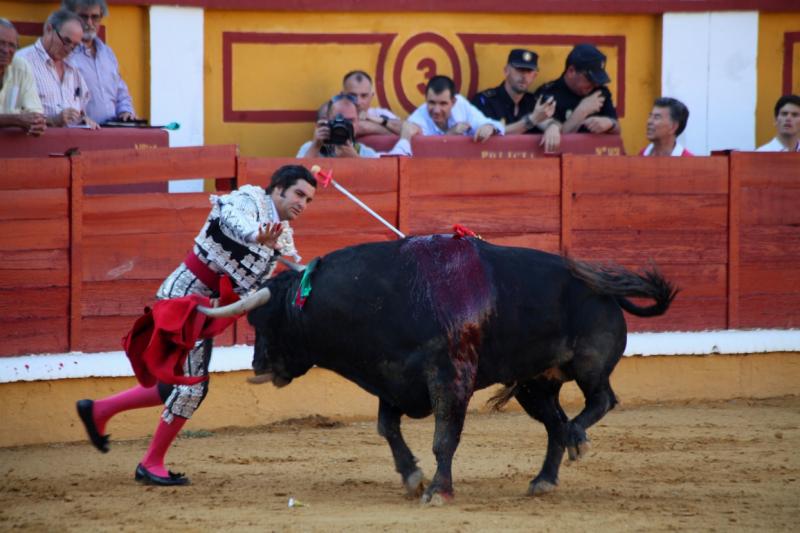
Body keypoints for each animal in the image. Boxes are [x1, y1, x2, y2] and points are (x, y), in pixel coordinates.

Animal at [200, 236, 676, 502]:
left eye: (263, 320)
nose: (258, 365)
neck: (386, 296)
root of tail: (607, 291)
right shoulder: (391, 378)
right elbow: (387, 429)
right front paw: (412, 477)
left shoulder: (451, 378)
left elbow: (444, 438)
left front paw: (437, 490)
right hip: (535, 386)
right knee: (555, 424)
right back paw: (543, 480)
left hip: (588, 364)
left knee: (600, 400)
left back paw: (578, 440)